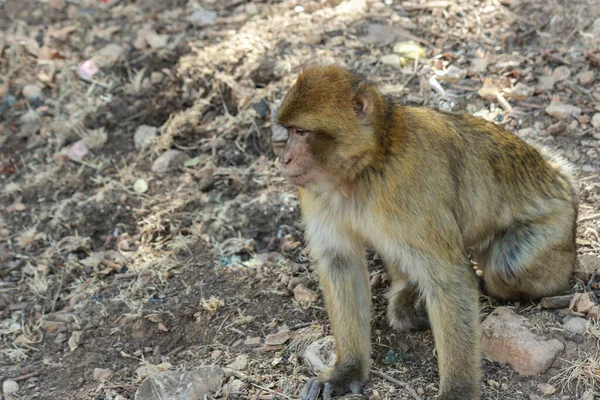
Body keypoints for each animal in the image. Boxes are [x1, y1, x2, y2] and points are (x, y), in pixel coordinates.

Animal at [276, 65, 576, 400]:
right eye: (288, 131)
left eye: (301, 132)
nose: (285, 159)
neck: (366, 167)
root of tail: (558, 175)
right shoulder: (316, 193)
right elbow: (340, 263)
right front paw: (347, 369)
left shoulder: (410, 184)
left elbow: (449, 278)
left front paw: (457, 391)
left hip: (556, 224)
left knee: (507, 269)